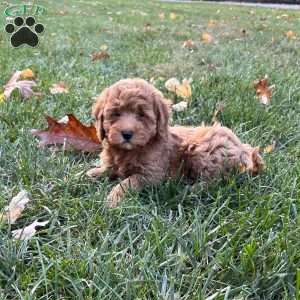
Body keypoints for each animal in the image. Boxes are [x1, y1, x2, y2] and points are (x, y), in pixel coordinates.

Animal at [86, 78, 262, 207]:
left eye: (141, 115)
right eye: (116, 114)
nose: (127, 134)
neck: (128, 151)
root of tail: (243, 147)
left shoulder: (152, 174)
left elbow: (128, 182)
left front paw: (112, 199)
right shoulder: (113, 164)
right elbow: (105, 169)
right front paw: (87, 174)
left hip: (206, 150)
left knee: (217, 181)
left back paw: (188, 190)